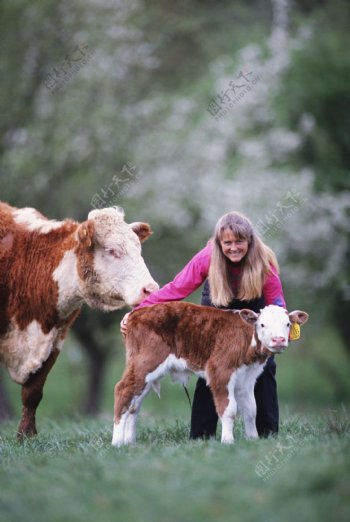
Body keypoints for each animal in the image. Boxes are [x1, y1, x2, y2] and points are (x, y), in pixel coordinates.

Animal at [0, 201, 159, 436]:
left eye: (138, 249)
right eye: (112, 250)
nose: (150, 289)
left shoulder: (54, 339)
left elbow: (32, 394)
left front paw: (26, 436)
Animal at [113, 300, 308, 442]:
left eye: (287, 324)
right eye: (262, 324)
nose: (278, 340)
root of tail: (138, 312)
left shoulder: (247, 378)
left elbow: (251, 410)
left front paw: (253, 439)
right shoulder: (220, 371)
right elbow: (229, 409)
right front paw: (228, 441)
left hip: (144, 372)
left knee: (134, 405)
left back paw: (130, 441)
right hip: (145, 362)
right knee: (123, 390)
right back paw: (117, 443)